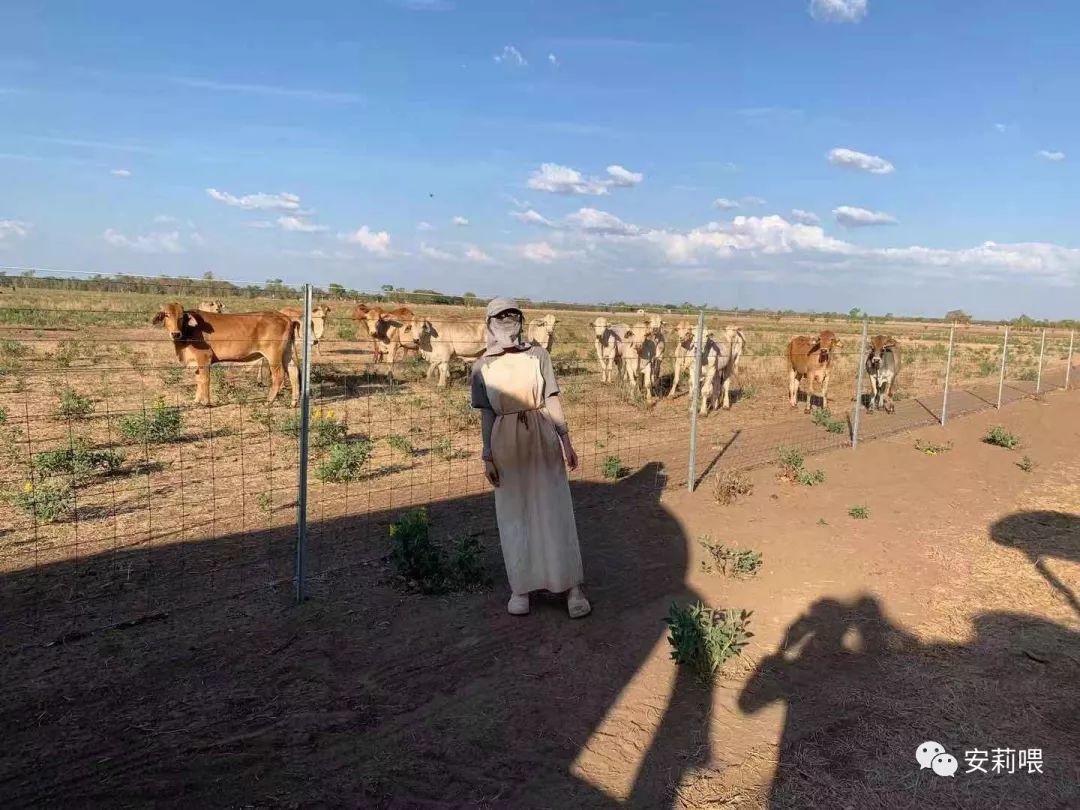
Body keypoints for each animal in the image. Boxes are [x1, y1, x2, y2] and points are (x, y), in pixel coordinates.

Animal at [150, 302, 298, 408]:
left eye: (181, 317)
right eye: (166, 315)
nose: (175, 333)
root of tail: (285, 318)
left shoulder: (204, 358)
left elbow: (205, 380)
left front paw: (206, 402)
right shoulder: (197, 362)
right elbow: (198, 379)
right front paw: (196, 400)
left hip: (273, 355)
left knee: (279, 375)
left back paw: (269, 401)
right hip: (287, 353)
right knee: (294, 372)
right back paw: (294, 402)